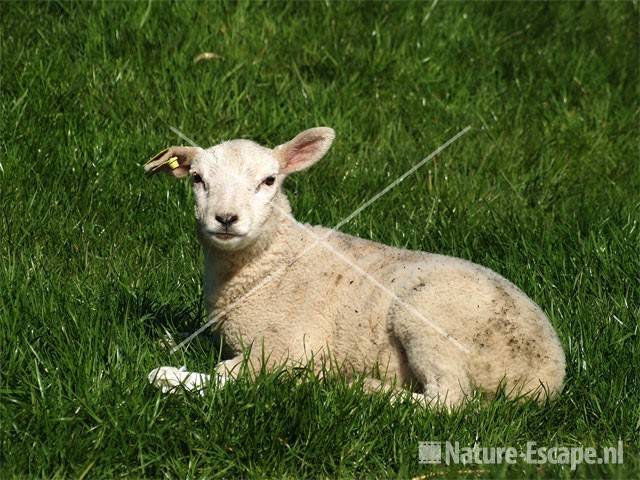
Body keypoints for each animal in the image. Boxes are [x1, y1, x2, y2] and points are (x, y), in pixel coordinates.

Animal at [145, 125, 564, 406]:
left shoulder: (288, 348)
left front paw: (171, 376)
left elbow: (230, 372)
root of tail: (548, 371)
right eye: (197, 179)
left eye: (269, 180)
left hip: (433, 325)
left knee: (448, 400)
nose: (226, 218)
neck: (272, 265)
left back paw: (367, 390)